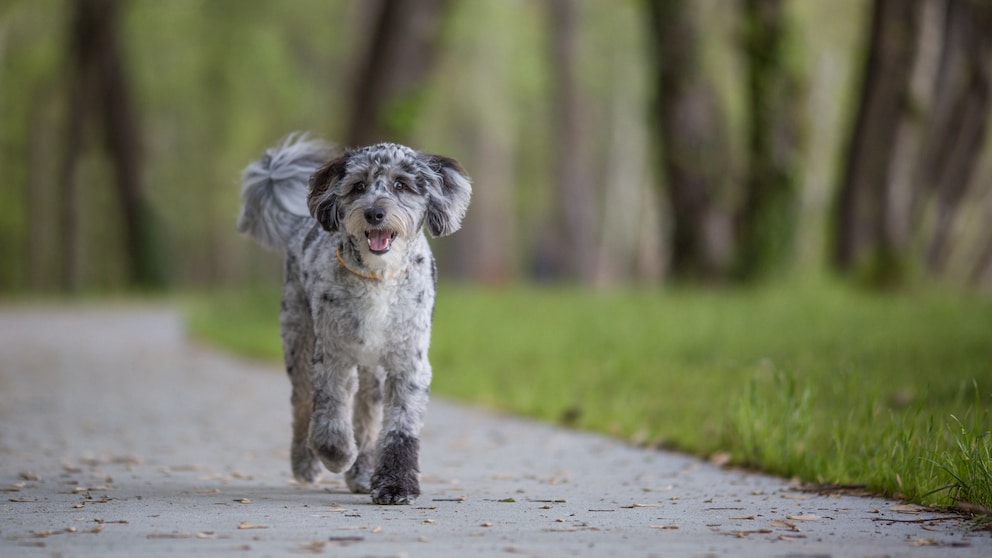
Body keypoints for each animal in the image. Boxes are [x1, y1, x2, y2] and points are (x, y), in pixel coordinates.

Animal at [239, 136, 472, 508]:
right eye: (359, 185)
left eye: (401, 185)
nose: (374, 213)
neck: (379, 278)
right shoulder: (334, 354)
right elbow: (330, 410)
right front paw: (336, 453)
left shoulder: (409, 362)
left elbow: (399, 428)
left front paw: (395, 485)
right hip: (298, 340)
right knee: (302, 404)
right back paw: (306, 462)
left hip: (373, 372)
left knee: (367, 417)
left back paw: (363, 471)